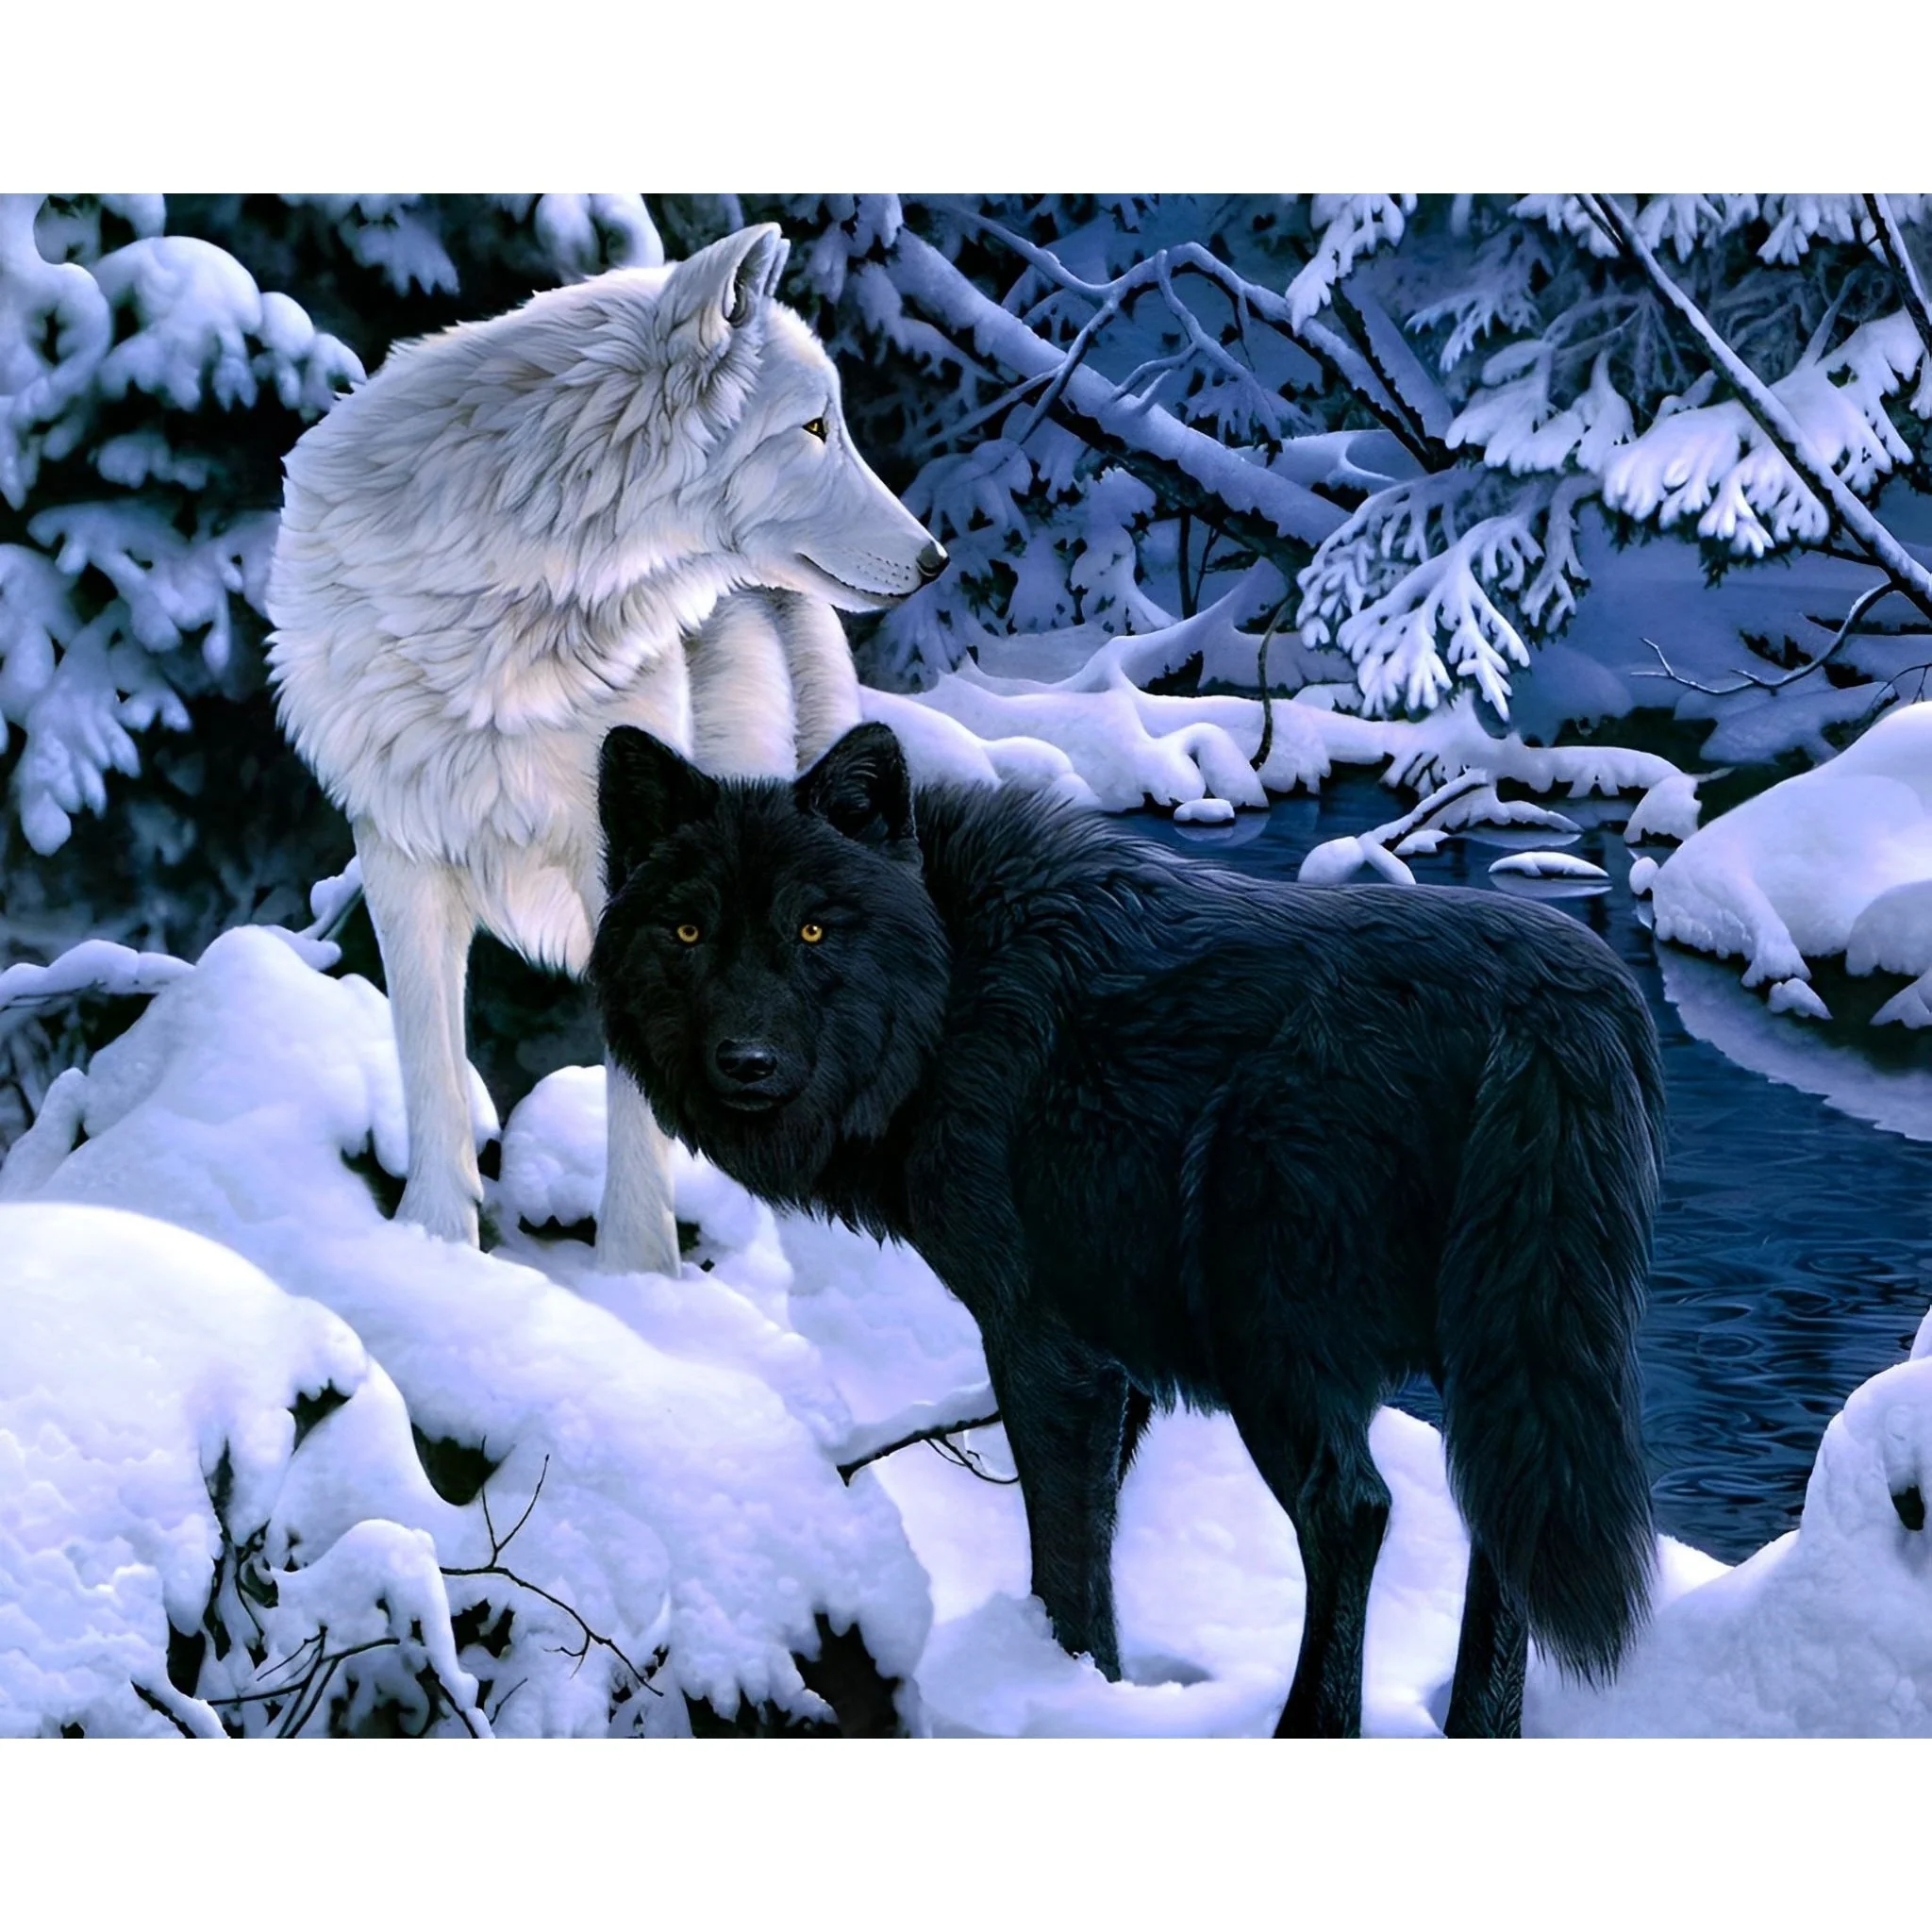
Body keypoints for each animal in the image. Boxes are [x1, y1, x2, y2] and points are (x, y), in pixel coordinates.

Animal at [266, 225, 945, 1274]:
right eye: (813, 427)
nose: (933, 558)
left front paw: (638, 1279)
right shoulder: (399, 855)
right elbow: (430, 1069)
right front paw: (431, 1253)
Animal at [587, 722, 1666, 1737]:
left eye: (812, 929)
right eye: (687, 930)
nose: (747, 1061)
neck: (952, 989)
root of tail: (1548, 998)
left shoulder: (1040, 1337)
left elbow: (1068, 1561)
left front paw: (1063, 1696)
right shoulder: (1117, 1358)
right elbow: (1093, 1534)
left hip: (1270, 1342)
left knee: (1353, 1509)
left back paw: (1305, 1727)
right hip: (1500, 1354)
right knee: (1498, 1521)